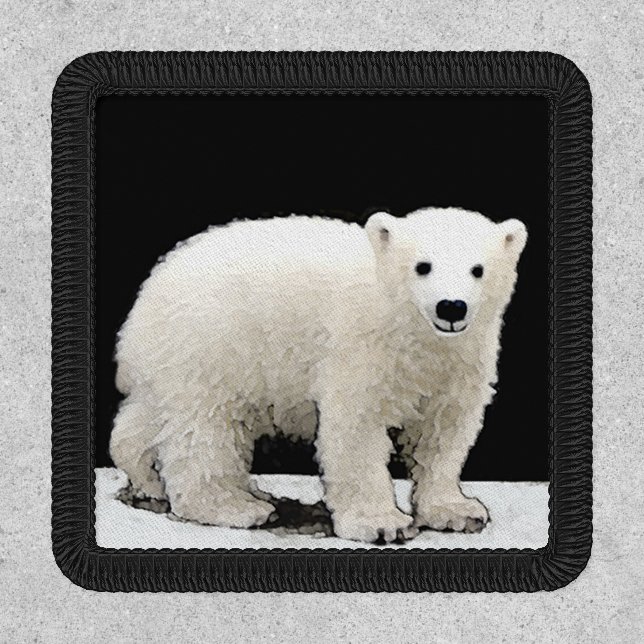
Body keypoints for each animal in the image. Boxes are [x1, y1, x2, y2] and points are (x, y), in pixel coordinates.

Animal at [110, 207, 527, 543]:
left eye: (478, 269)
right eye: (423, 266)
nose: (451, 307)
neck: (412, 330)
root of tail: (150, 289)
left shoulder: (460, 363)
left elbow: (443, 433)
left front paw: (458, 511)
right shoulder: (362, 347)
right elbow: (357, 428)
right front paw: (382, 523)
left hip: (177, 360)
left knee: (149, 419)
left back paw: (149, 479)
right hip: (213, 344)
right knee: (204, 429)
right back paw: (235, 506)